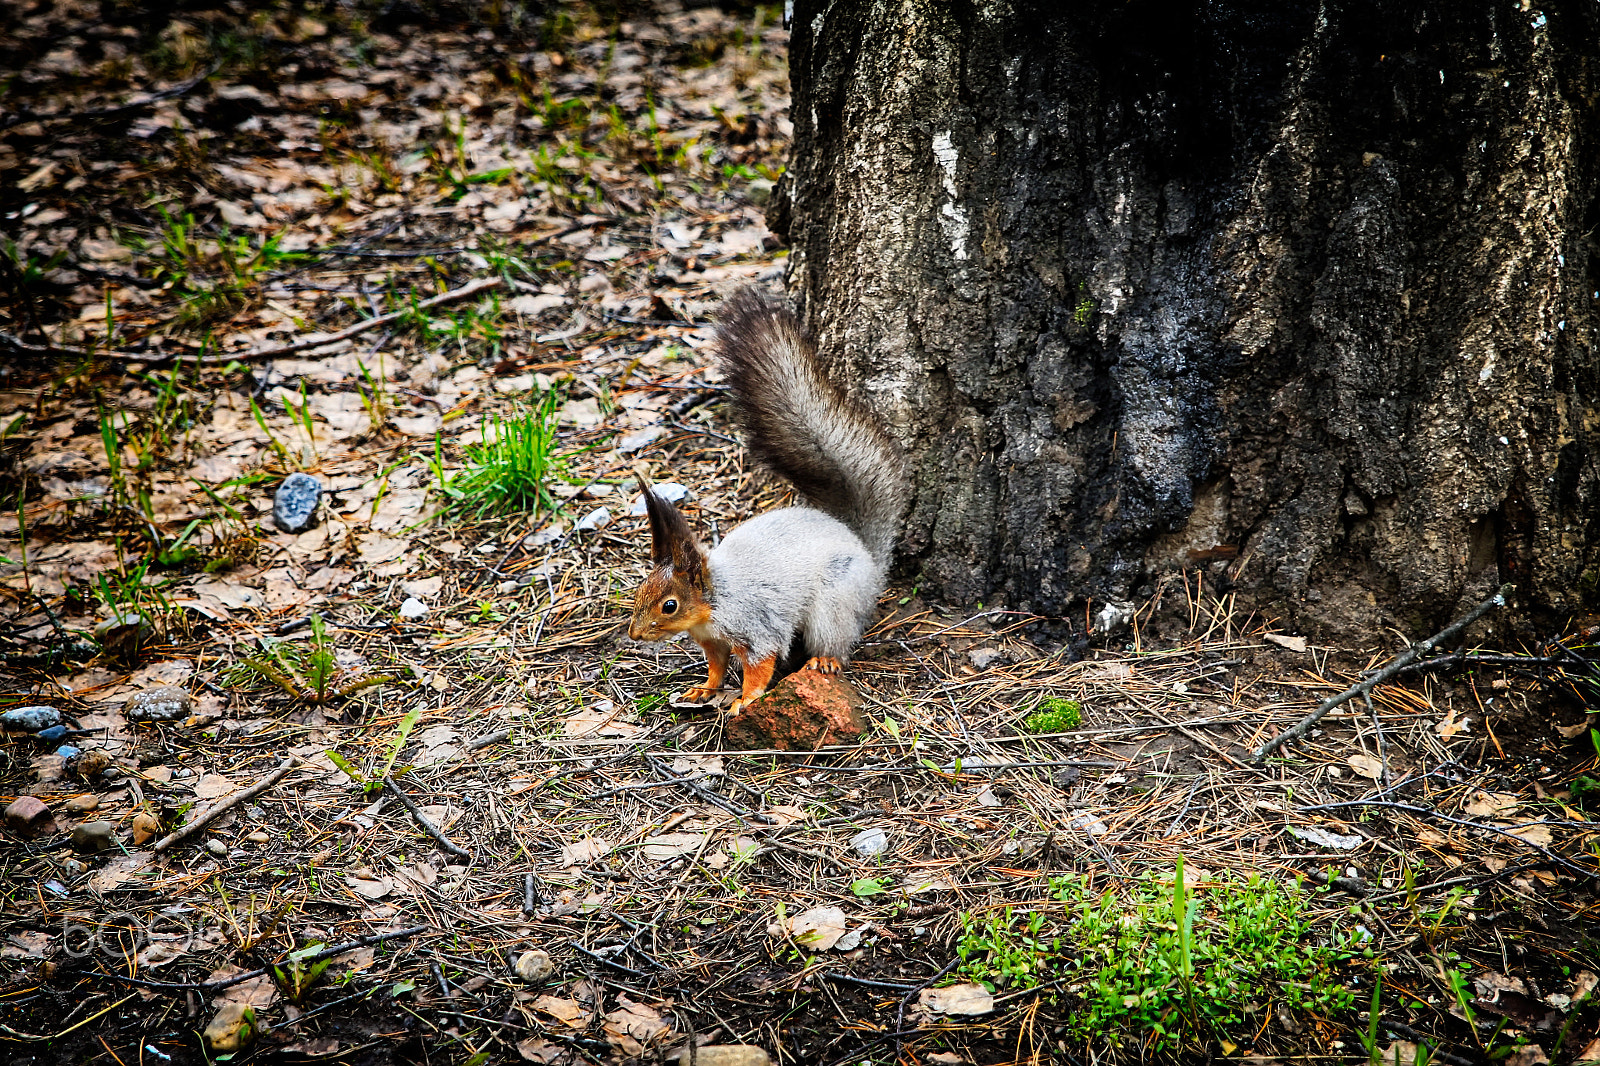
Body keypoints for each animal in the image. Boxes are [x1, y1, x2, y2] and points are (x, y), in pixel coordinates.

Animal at [627, 286, 908, 710]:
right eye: (640, 589)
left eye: (669, 605)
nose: (634, 634)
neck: (716, 599)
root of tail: (863, 551)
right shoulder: (713, 641)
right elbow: (716, 665)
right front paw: (705, 688)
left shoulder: (756, 627)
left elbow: (760, 663)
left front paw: (746, 699)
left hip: (835, 600)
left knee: (836, 638)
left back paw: (825, 660)